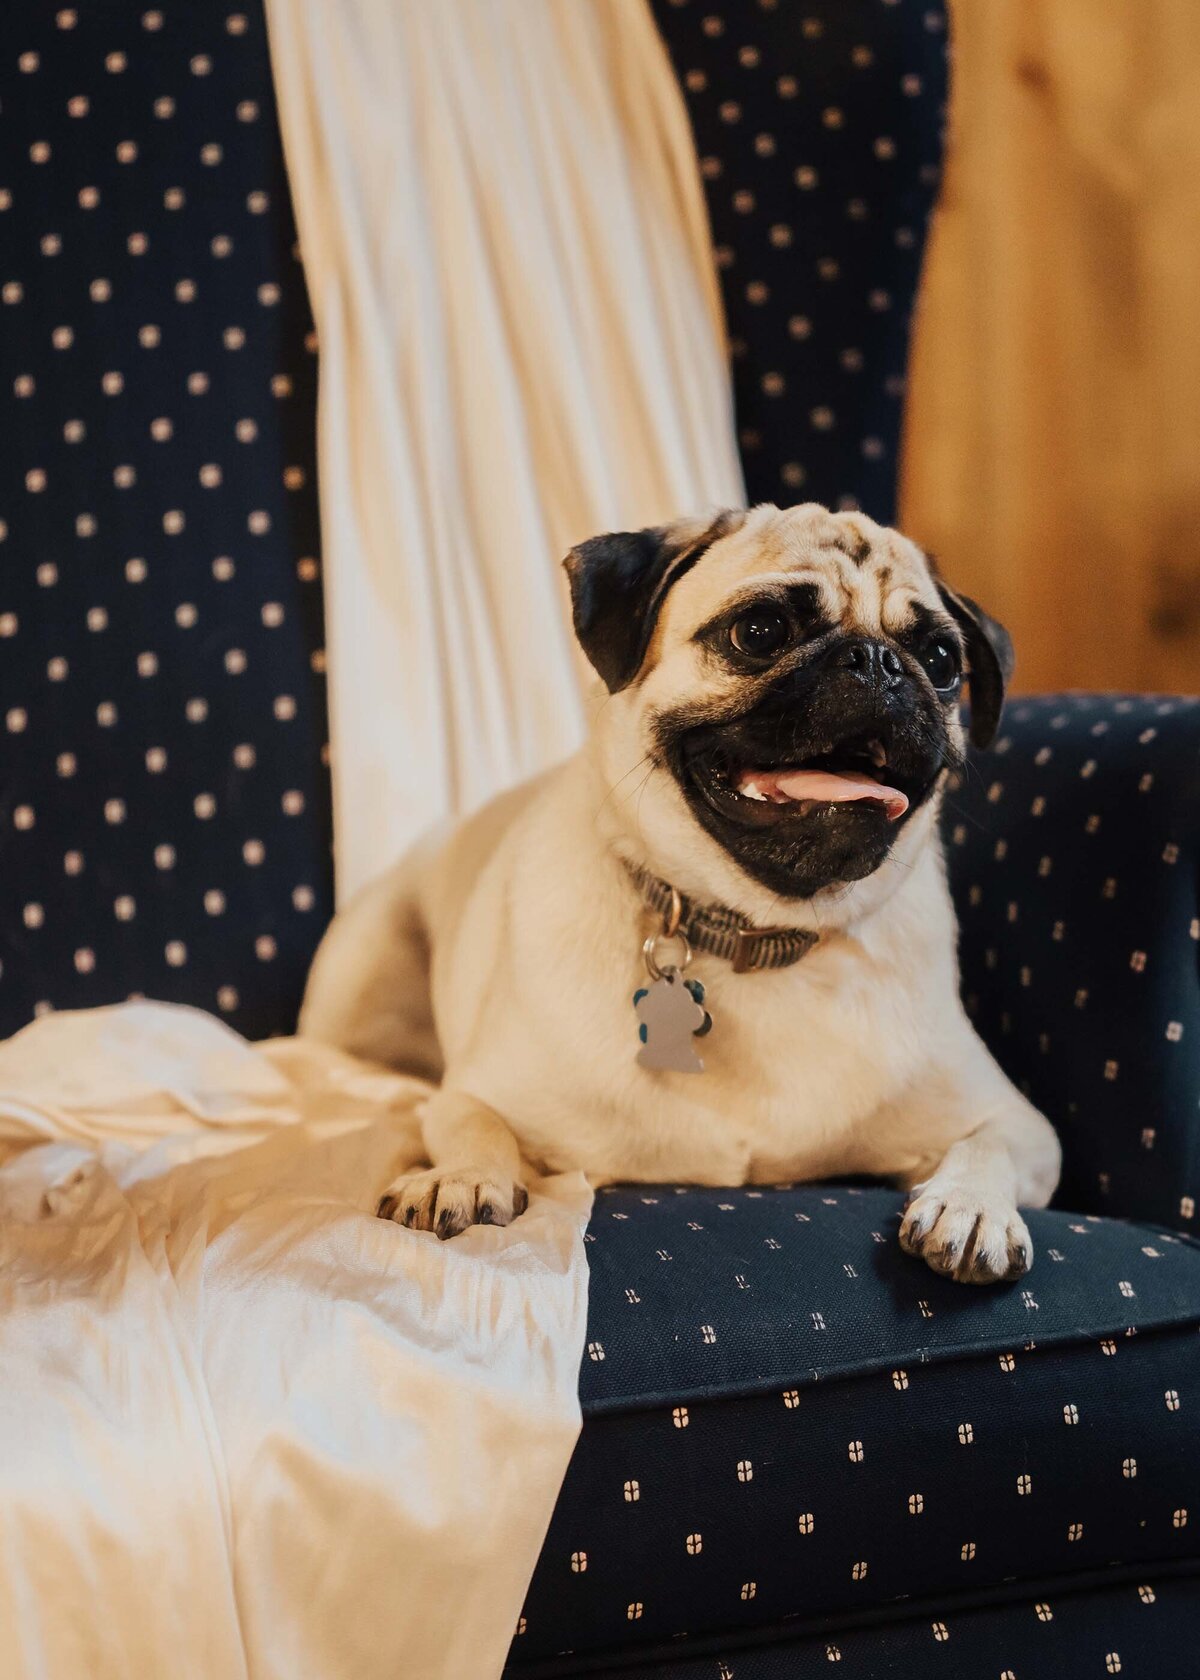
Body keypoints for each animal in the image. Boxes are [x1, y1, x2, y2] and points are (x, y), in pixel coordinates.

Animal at [299, 503, 1055, 1276]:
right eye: (760, 631)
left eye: (942, 662)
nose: (877, 661)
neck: (758, 933)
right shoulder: (477, 1093)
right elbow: (473, 1124)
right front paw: (461, 1176)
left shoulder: (1019, 1123)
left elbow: (989, 1145)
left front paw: (970, 1206)